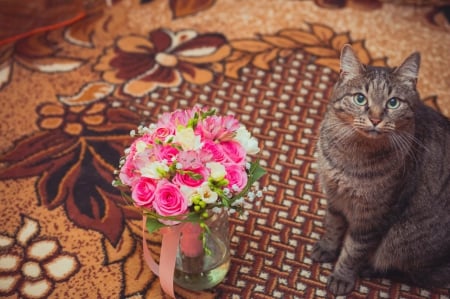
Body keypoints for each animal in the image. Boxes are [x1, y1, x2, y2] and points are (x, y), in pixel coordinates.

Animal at [312, 45, 450, 296]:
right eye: (360, 99)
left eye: (393, 102)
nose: (375, 119)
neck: (350, 156)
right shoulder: (334, 197)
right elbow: (334, 226)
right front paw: (327, 248)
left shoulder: (373, 217)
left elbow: (352, 251)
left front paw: (341, 277)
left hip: (401, 241)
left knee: (418, 274)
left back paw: (369, 268)